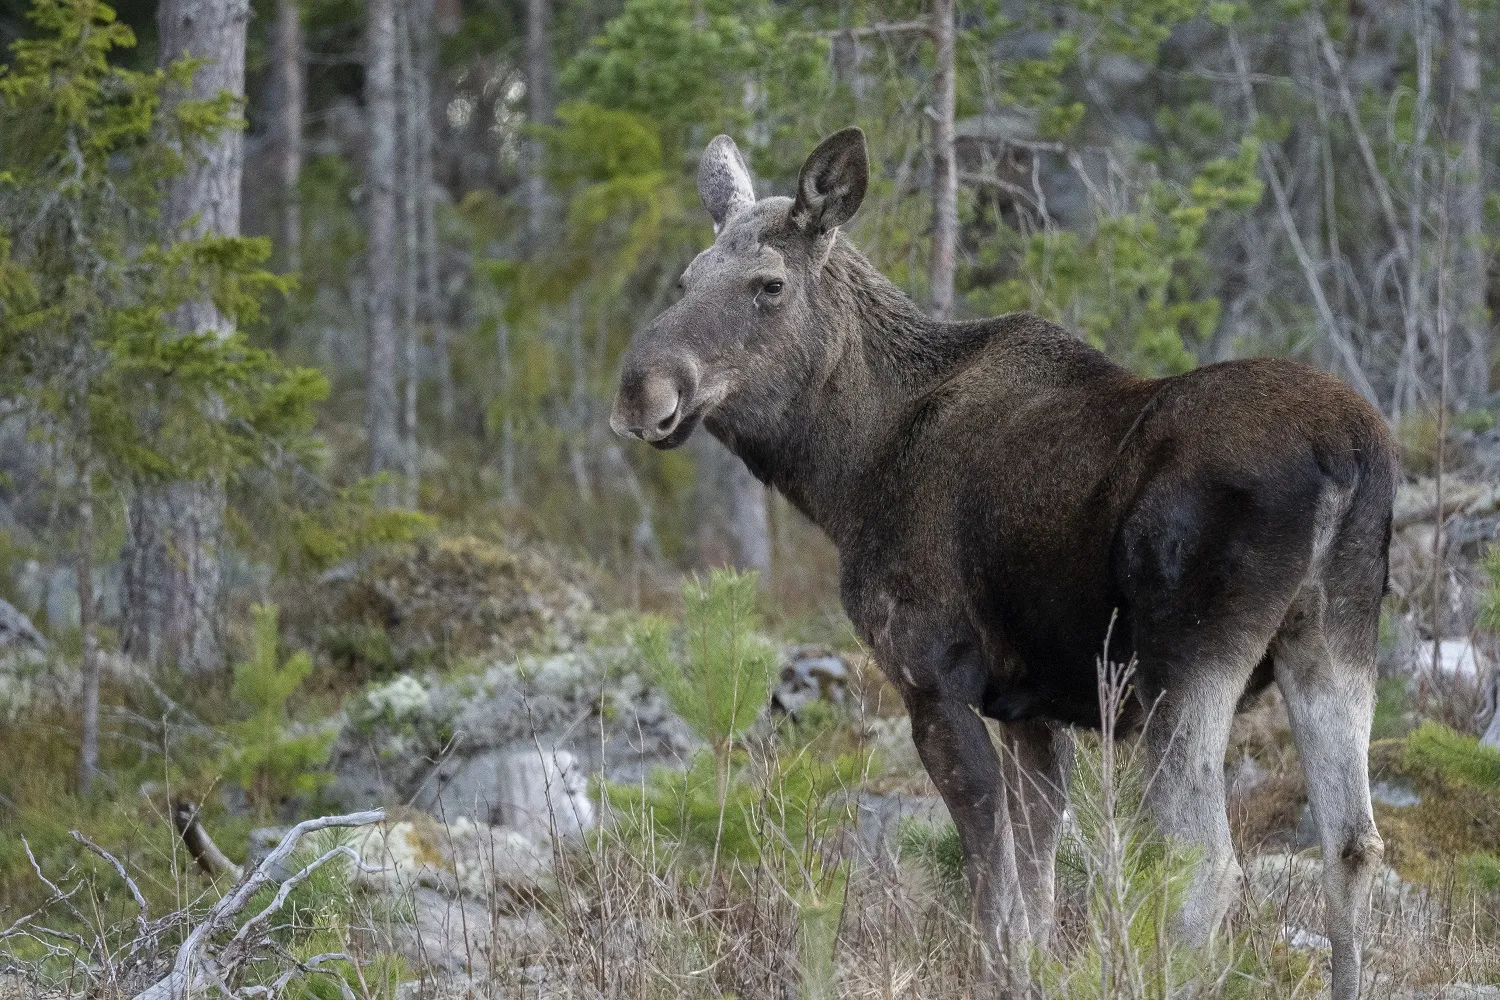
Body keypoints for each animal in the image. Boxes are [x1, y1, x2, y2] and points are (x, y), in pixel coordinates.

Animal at [609, 128, 1392, 995]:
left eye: (769, 284)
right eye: (687, 277)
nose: (642, 389)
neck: (846, 471)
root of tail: (1347, 455)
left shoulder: (932, 679)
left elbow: (993, 884)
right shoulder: (1034, 707)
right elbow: (1040, 884)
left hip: (1187, 661)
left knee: (1206, 868)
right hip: (1335, 635)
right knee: (1351, 847)